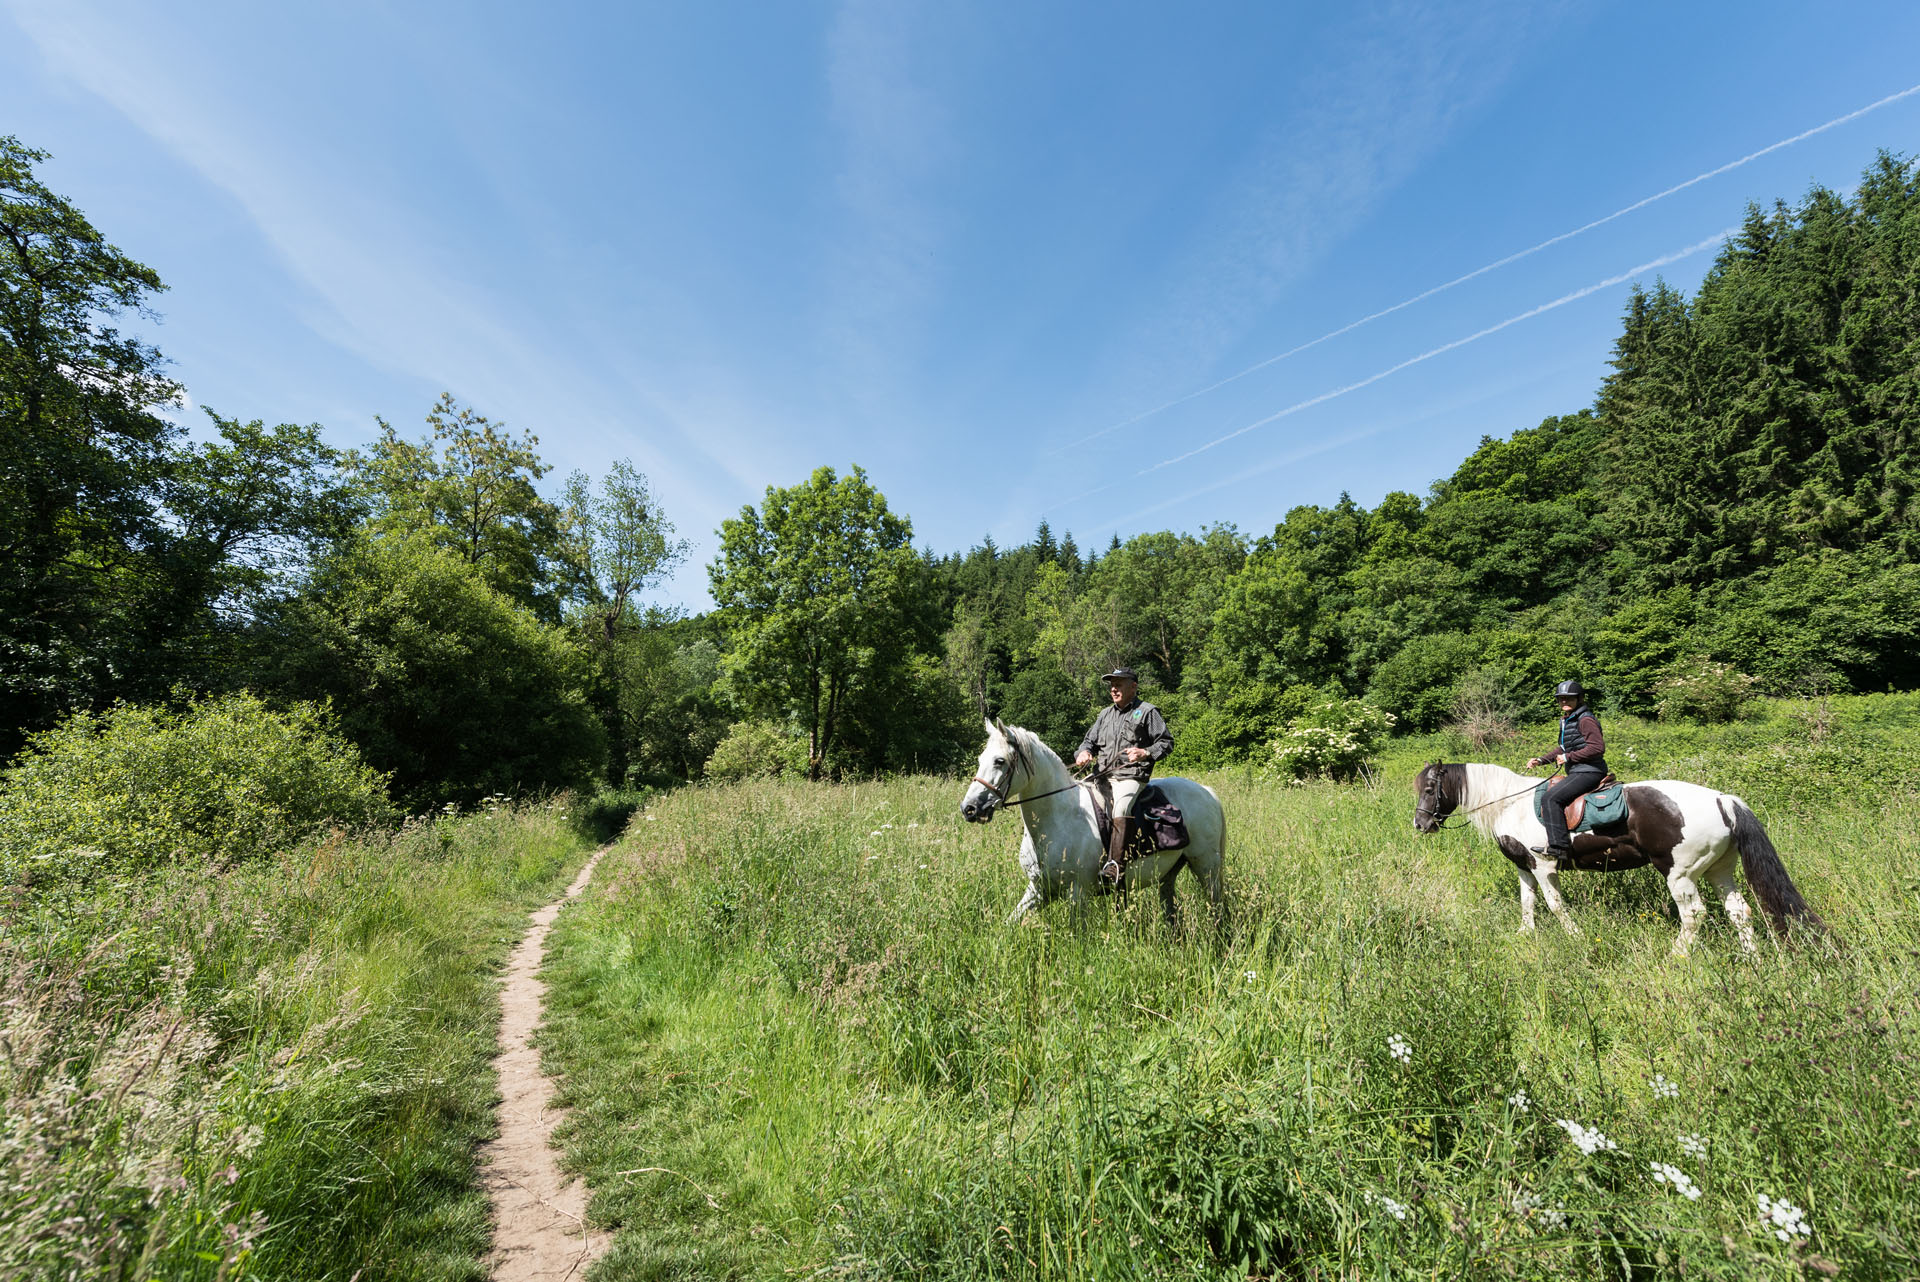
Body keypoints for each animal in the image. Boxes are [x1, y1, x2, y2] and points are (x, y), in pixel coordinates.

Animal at [960, 717, 1228, 925]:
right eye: (980, 759)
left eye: (1000, 761)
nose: (969, 808)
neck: (1059, 819)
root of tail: (1206, 792)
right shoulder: (1037, 889)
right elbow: (1008, 925)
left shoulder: (1078, 893)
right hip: (1170, 874)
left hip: (1207, 867)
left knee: (1217, 908)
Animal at [1413, 759, 1827, 951]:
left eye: (1431, 788)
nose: (1420, 824)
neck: (1509, 804)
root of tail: (1722, 800)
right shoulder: (1525, 868)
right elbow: (1527, 903)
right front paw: (1525, 934)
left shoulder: (1545, 866)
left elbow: (1555, 905)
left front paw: (1576, 936)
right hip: (1719, 870)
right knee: (1739, 911)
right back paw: (1751, 957)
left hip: (1680, 874)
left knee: (1694, 914)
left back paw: (1676, 957)